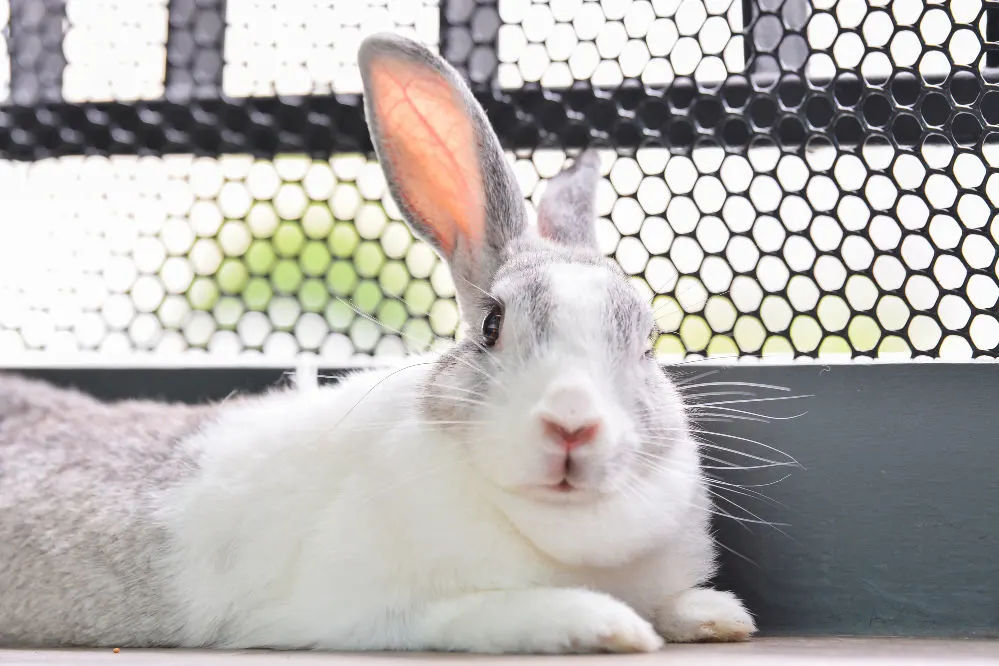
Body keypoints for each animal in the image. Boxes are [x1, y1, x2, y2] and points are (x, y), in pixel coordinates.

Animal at [0, 33, 752, 652]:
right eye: (492, 325)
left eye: (647, 340)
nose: (572, 424)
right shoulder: (379, 612)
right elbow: (495, 612)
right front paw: (608, 625)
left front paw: (717, 615)